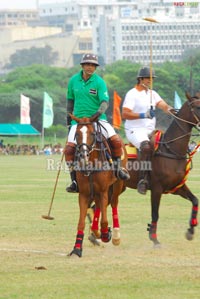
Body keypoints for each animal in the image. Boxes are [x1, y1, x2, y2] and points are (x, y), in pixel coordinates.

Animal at [68, 114, 126, 258]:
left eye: (92, 133)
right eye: (76, 134)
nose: (83, 155)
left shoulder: (104, 190)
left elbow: (104, 220)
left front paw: (106, 234)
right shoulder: (84, 194)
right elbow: (81, 223)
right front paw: (77, 249)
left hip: (117, 185)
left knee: (114, 203)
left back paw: (115, 236)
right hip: (96, 192)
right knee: (99, 206)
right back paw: (96, 231)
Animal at [89, 92, 200, 247]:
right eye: (197, 107)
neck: (171, 150)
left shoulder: (177, 187)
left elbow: (195, 200)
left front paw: (190, 231)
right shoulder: (157, 188)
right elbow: (155, 213)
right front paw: (154, 239)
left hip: (117, 188)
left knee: (97, 206)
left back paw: (96, 236)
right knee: (98, 206)